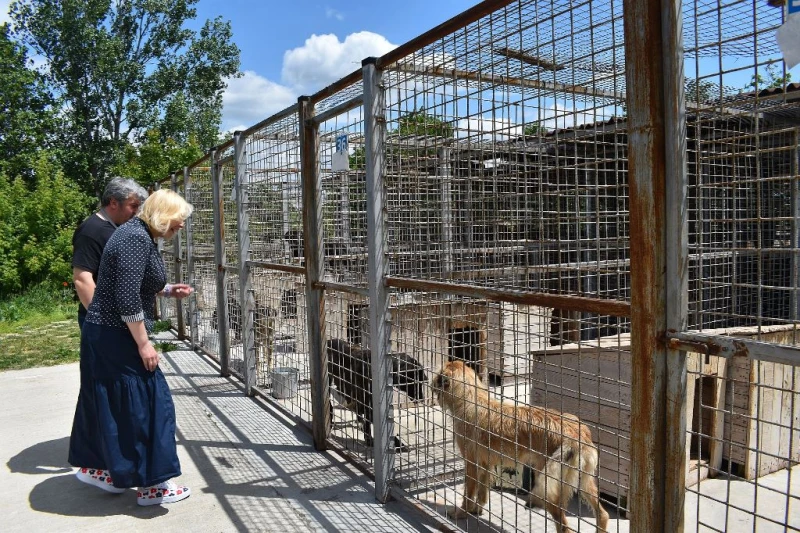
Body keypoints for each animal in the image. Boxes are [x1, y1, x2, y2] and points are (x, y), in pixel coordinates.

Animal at [434, 360, 608, 528]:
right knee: (602, 514)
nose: (433, 385)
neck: (471, 399)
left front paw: (461, 513)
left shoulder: (472, 464)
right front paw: (477, 510)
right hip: (584, 481)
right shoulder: (485, 464)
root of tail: (576, 434)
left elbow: (468, 493)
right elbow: (482, 492)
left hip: (547, 484)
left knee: (563, 524)